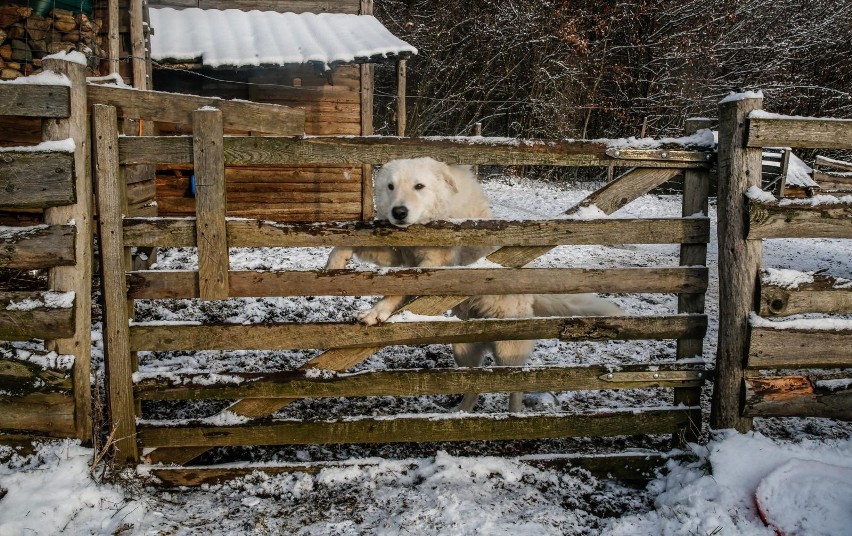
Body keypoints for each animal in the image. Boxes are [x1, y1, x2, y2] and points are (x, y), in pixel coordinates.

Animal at [324, 157, 620, 412]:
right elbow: (349, 244)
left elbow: (398, 292)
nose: (399, 212)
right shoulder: (398, 255)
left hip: (508, 352)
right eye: (390, 186)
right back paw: (461, 413)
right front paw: (335, 261)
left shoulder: (434, 266)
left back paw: (514, 416)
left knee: (515, 387)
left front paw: (376, 312)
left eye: (419, 186)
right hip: (463, 351)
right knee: (475, 385)